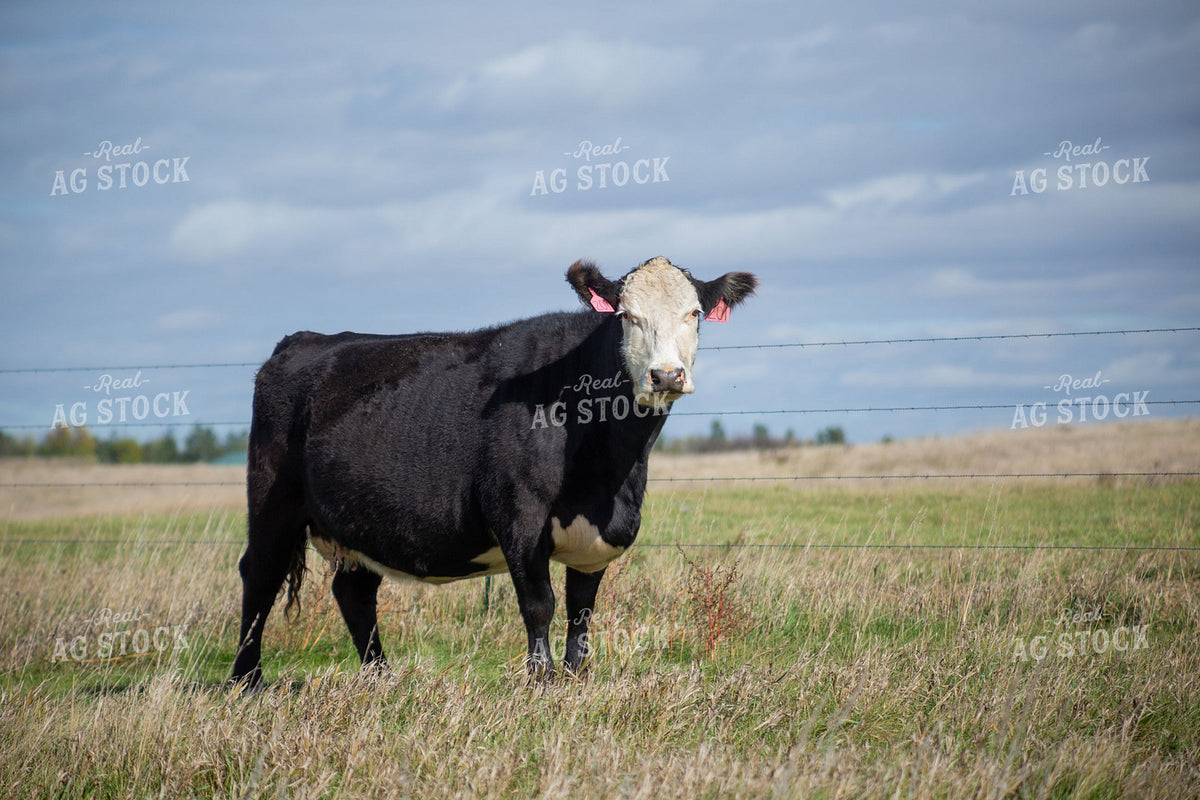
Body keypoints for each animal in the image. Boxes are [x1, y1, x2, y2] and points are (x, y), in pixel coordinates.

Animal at [230, 256, 757, 687]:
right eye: (626, 315)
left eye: (694, 314)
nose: (666, 375)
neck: (610, 475)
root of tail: (304, 340)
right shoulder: (518, 515)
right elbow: (540, 602)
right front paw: (541, 680)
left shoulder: (597, 537)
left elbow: (581, 610)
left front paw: (576, 678)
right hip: (273, 498)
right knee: (259, 574)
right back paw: (246, 679)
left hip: (354, 521)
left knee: (354, 592)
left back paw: (381, 678)